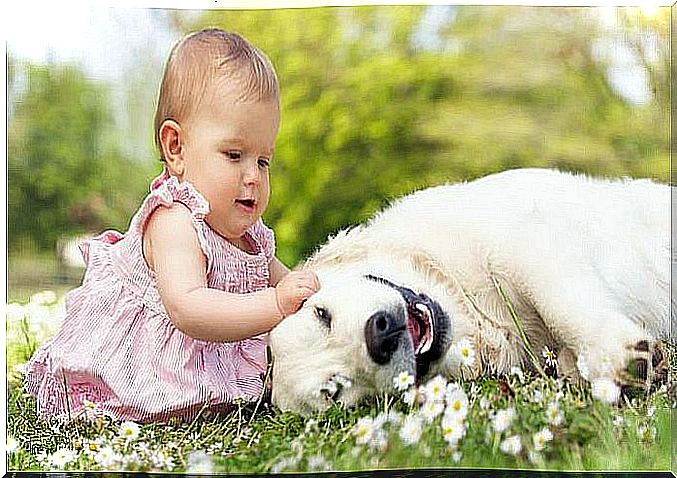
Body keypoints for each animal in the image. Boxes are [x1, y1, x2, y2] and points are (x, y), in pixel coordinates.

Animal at [270, 168, 672, 414]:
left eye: (321, 314)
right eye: (337, 390)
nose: (379, 336)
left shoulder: (520, 241)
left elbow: (558, 301)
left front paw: (614, 354)